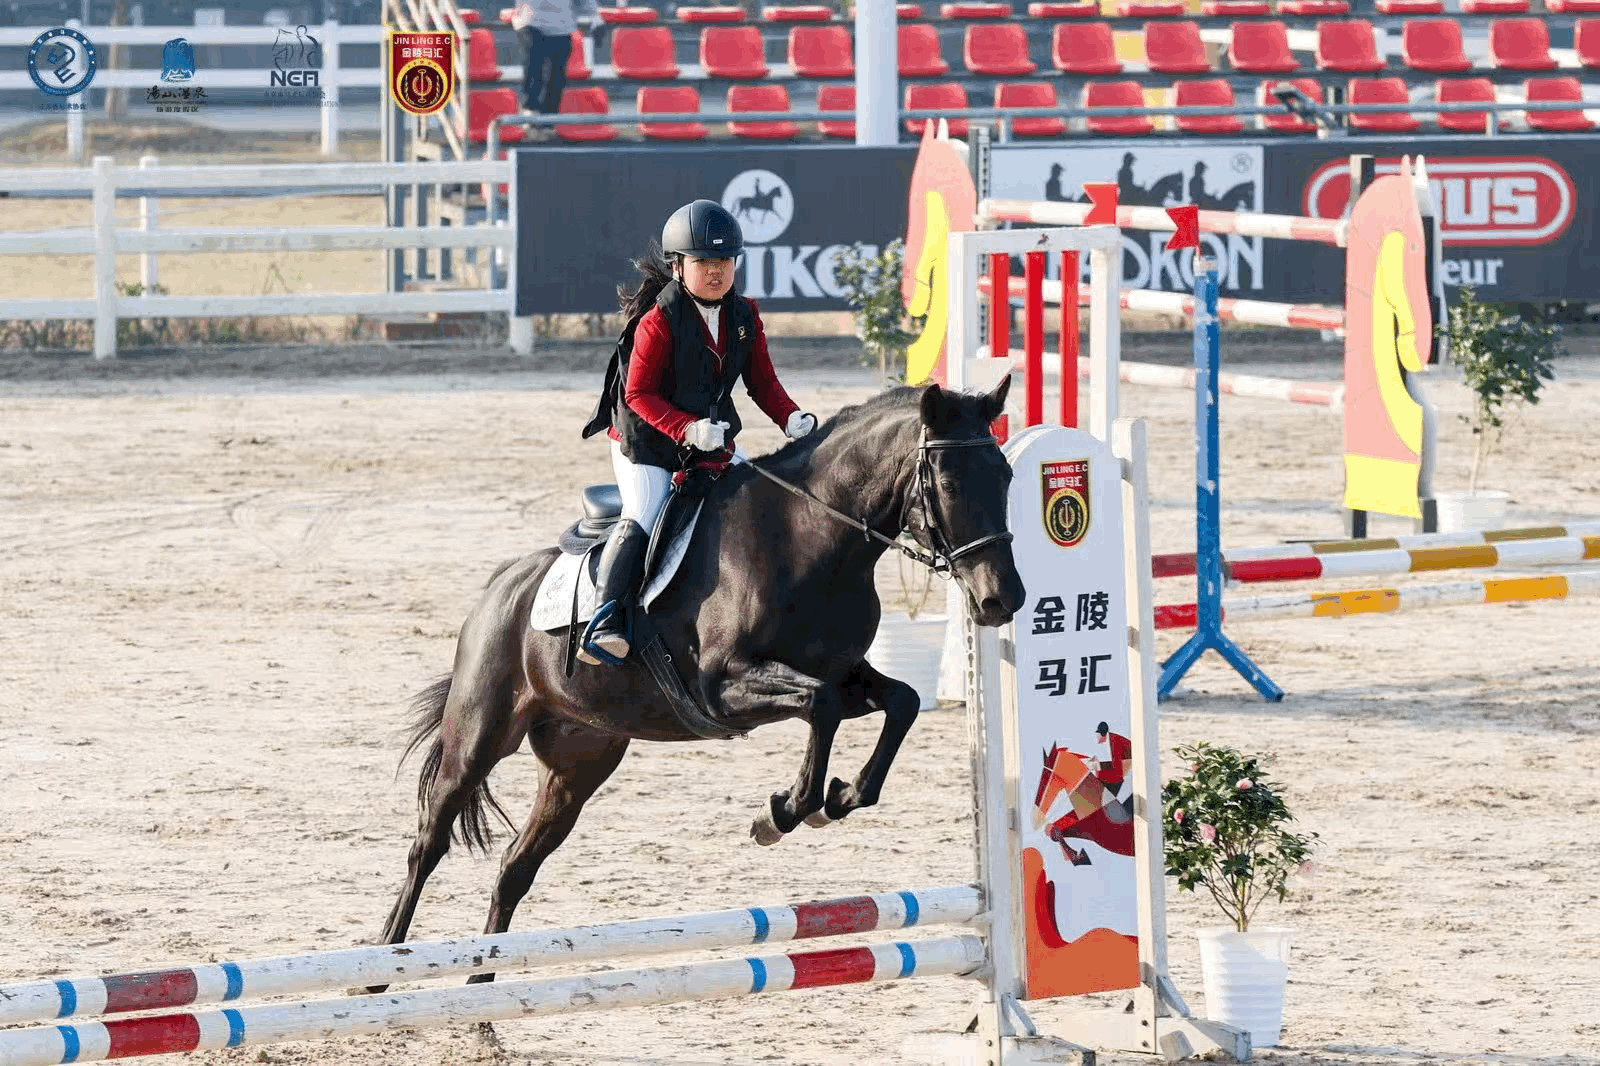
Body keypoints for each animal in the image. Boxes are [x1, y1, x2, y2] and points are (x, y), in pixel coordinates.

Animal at [370, 379, 1025, 984]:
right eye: (949, 482)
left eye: (1006, 475)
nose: (1002, 600)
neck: (812, 537)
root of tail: (501, 586)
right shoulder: (725, 689)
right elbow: (820, 707)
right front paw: (784, 812)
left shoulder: (846, 674)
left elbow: (900, 702)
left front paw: (839, 797)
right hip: (479, 737)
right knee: (428, 842)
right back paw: (383, 966)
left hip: (578, 762)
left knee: (514, 866)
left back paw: (483, 989)